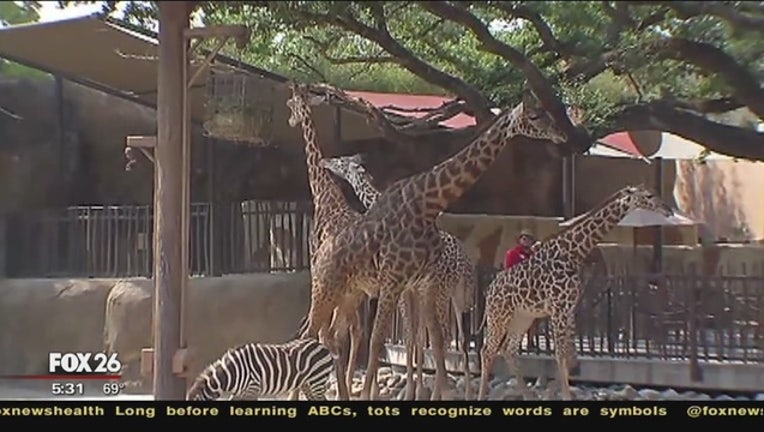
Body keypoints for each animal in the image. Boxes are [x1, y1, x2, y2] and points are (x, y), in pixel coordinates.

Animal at [186, 338, 334, 402]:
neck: (232, 374)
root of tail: (322, 345)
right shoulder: (240, 393)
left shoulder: (253, 389)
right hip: (306, 383)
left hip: (317, 380)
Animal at [320, 154, 480, 400]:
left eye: (341, 162)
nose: (326, 162)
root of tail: (465, 264)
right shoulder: (409, 290)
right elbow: (415, 337)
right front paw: (413, 391)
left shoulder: (403, 289)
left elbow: (409, 337)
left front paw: (410, 392)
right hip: (457, 296)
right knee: (458, 338)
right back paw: (467, 392)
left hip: (441, 293)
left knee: (443, 336)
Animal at [478, 184, 676, 400]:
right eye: (649, 195)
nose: (668, 210)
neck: (573, 253)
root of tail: (489, 289)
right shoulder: (558, 309)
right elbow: (560, 355)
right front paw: (564, 395)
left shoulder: (569, 308)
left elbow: (571, 357)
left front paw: (551, 394)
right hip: (499, 315)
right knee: (487, 350)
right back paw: (481, 395)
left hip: (523, 317)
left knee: (509, 350)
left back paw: (528, 396)